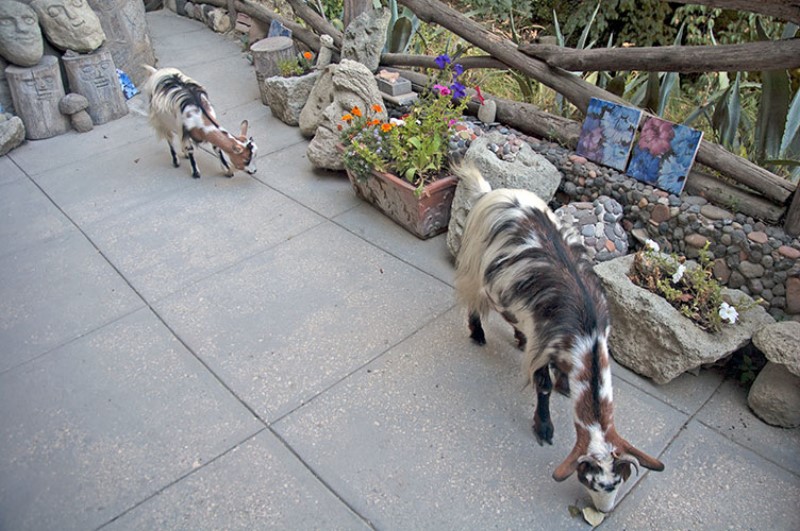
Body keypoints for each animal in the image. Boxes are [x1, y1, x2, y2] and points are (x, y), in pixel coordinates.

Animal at [454, 164, 664, 512]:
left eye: (619, 481)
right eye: (590, 480)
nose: (604, 510)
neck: (587, 332)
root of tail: (490, 192)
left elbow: (559, 375)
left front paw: (565, 385)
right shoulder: (543, 343)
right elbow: (542, 385)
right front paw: (544, 428)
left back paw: (516, 337)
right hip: (474, 261)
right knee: (475, 297)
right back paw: (478, 333)